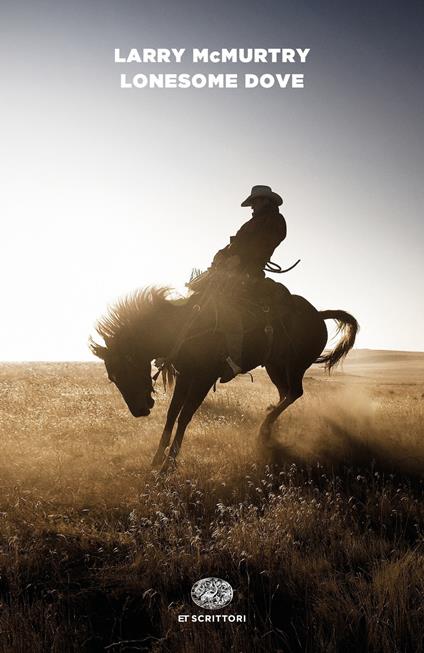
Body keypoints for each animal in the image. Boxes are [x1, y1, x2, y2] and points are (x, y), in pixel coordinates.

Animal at [89, 282, 358, 472]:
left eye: (127, 367)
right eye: (112, 377)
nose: (139, 411)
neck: (184, 327)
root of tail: (318, 314)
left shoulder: (203, 379)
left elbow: (184, 416)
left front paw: (170, 464)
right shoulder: (186, 376)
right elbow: (172, 414)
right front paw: (157, 458)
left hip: (294, 366)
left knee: (294, 392)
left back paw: (264, 429)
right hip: (275, 366)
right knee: (285, 393)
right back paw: (269, 425)